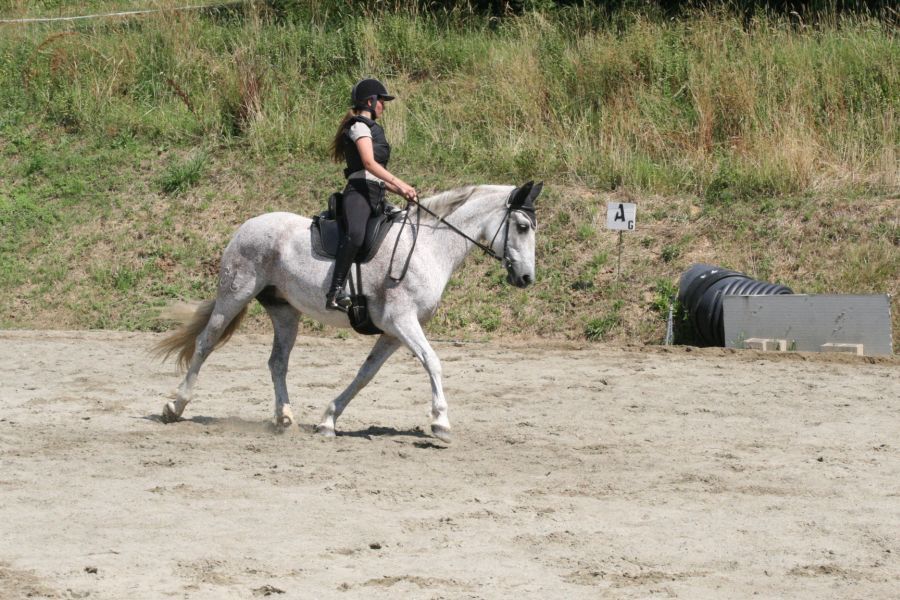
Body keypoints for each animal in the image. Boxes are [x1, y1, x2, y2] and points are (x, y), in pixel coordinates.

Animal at [153, 180, 540, 442]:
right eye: (522, 227)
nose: (526, 278)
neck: (429, 246)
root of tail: (247, 225)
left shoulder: (392, 332)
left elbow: (365, 374)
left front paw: (328, 420)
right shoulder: (402, 321)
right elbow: (433, 362)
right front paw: (441, 423)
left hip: (285, 311)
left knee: (277, 362)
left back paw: (285, 419)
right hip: (234, 294)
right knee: (205, 343)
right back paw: (175, 406)